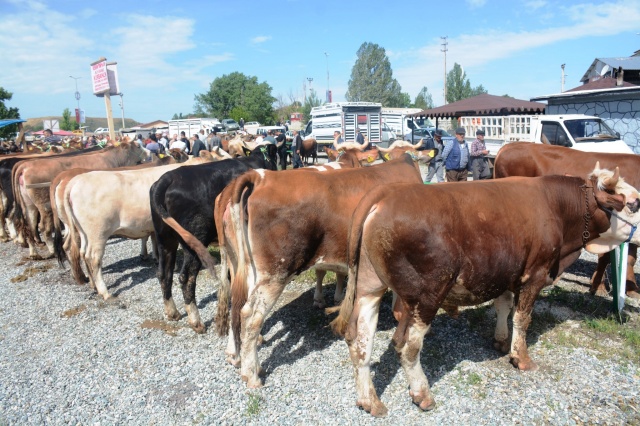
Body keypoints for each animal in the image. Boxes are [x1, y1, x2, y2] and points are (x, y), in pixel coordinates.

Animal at [151, 143, 278, 332]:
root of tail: (167, 178)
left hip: (164, 239)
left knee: (164, 273)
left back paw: (172, 312)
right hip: (194, 240)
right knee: (186, 277)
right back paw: (196, 321)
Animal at [332, 167, 640, 416]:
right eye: (634, 204)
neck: (557, 207)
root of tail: (385, 192)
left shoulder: (504, 273)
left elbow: (503, 307)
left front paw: (501, 341)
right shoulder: (536, 274)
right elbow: (522, 318)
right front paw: (521, 358)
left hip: (370, 288)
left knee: (359, 342)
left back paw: (369, 401)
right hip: (426, 295)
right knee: (407, 346)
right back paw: (422, 394)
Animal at [498, 141, 640, 298]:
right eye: (632, 204)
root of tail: (510, 145)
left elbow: (630, 259)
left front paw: (631, 289)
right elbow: (606, 258)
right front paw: (599, 286)